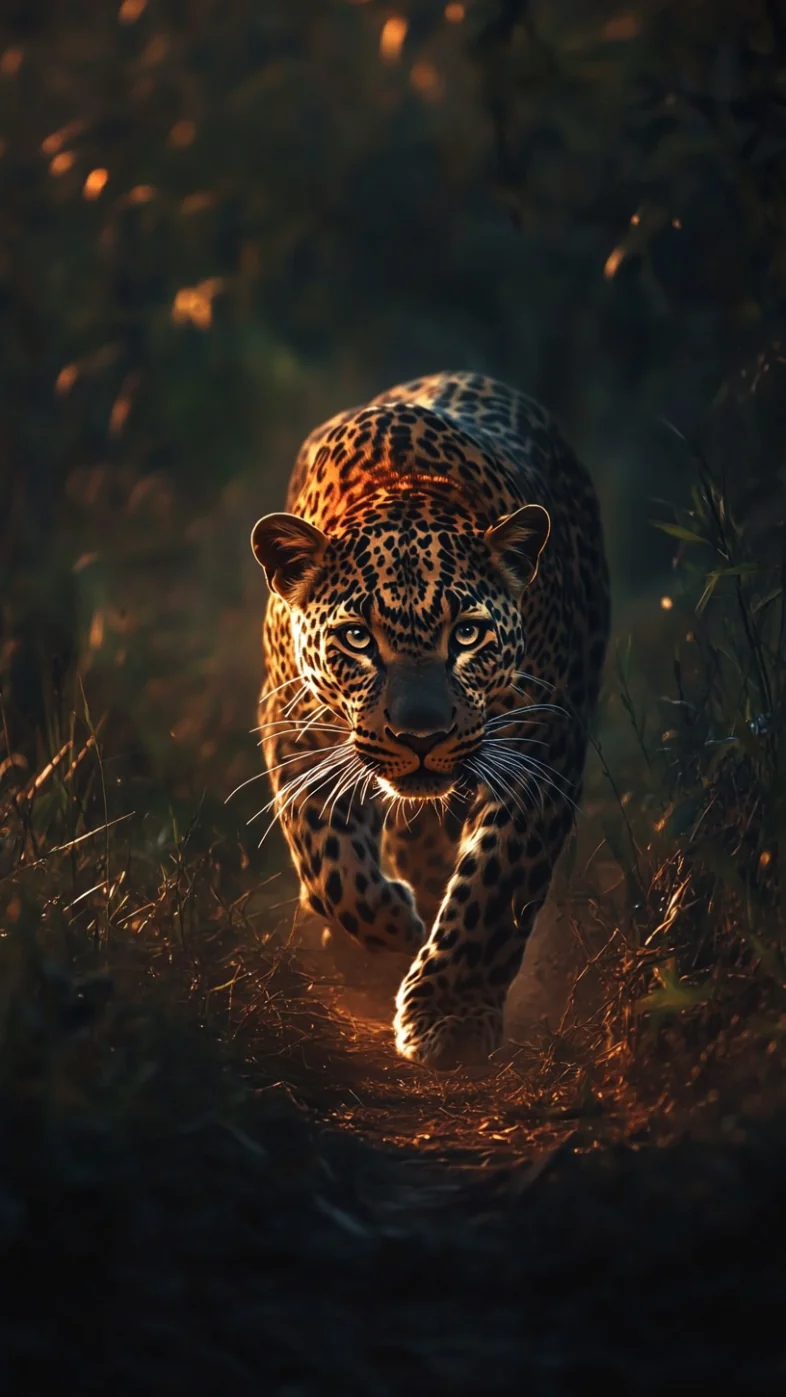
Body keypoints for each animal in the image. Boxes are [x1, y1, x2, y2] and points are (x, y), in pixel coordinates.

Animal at [250, 372, 610, 1071]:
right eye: (358, 639)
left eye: (467, 634)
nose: (421, 737)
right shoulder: (294, 723)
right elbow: (326, 856)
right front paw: (389, 924)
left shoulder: (541, 745)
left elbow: (496, 881)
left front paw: (450, 1016)